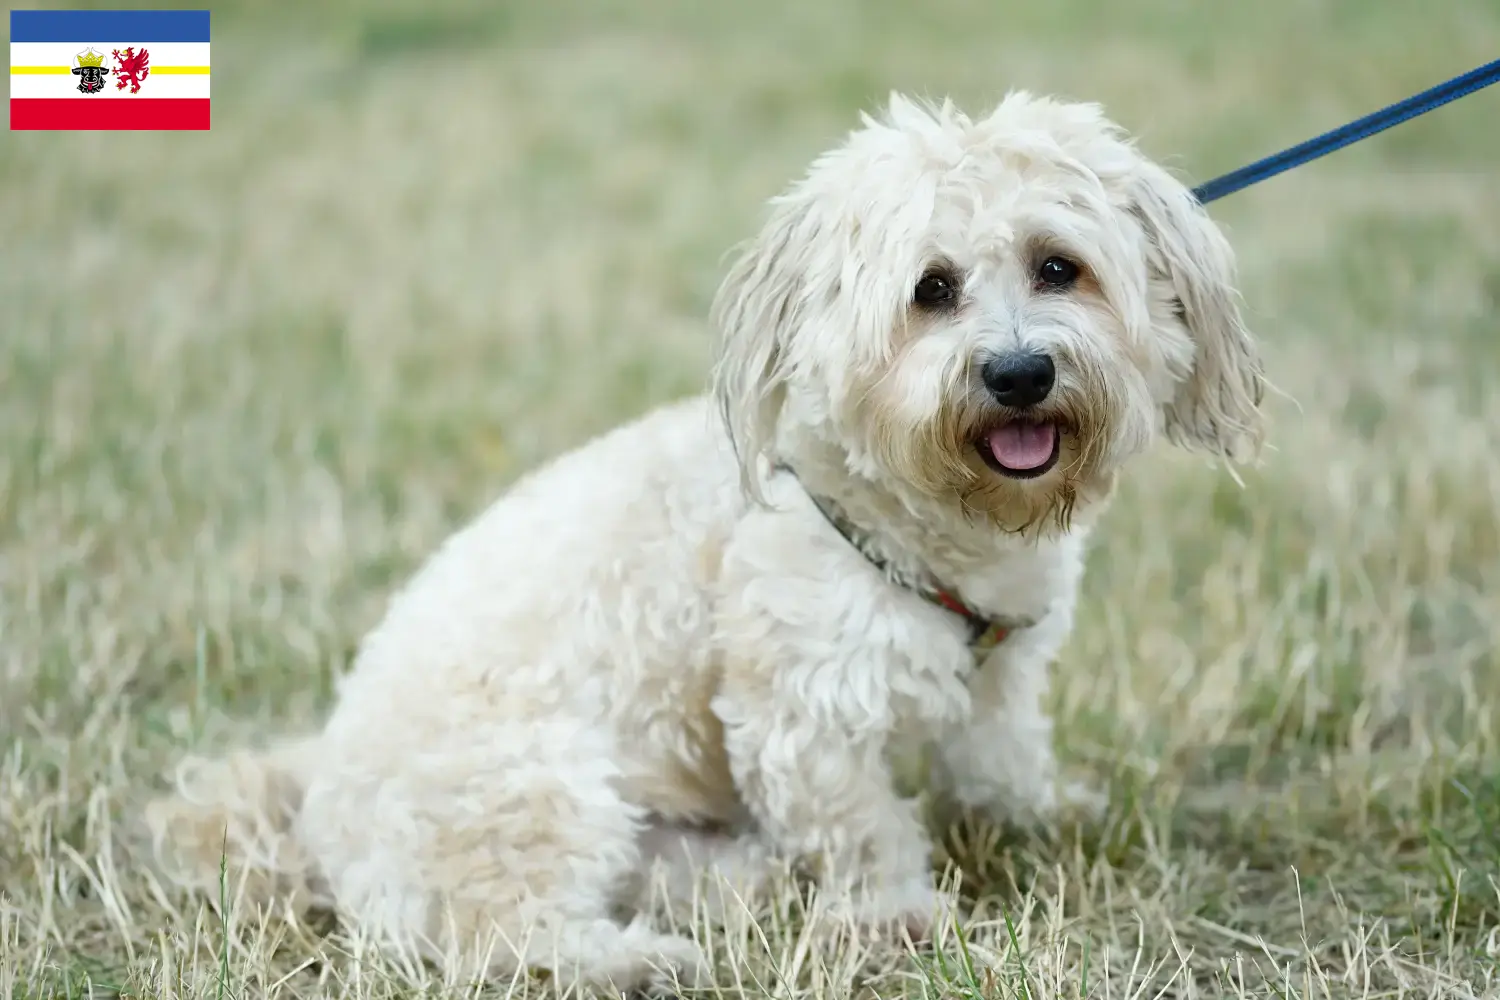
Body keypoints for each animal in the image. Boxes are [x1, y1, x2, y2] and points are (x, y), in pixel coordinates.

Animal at [143, 91, 1266, 995]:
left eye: (1059, 268)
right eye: (933, 289)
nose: (1020, 372)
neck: (911, 513)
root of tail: (317, 801)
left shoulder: (1001, 673)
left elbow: (1000, 759)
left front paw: (1048, 813)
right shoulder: (804, 710)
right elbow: (861, 828)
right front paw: (897, 915)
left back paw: (740, 887)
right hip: (535, 788)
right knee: (497, 935)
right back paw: (634, 962)